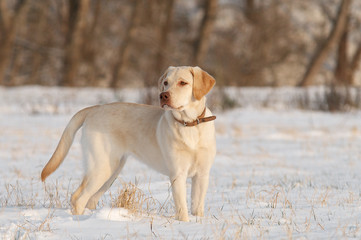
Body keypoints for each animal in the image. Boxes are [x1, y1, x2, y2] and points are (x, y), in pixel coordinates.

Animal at [42, 65, 217, 221]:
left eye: (183, 83)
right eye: (166, 82)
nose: (163, 95)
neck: (190, 125)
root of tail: (94, 108)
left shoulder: (202, 175)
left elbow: (197, 207)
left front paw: (198, 222)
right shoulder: (177, 175)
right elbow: (183, 211)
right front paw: (186, 224)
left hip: (111, 171)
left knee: (88, 198)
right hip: (102, 168)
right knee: (78, 198)